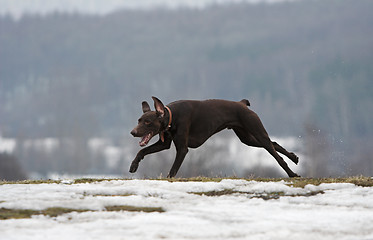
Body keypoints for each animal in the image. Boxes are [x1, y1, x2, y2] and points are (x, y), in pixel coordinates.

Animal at [129, 96, 298, 177]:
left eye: (147, 122)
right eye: (139, 120)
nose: (133, 132)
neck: (172, 116)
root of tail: (242, 103)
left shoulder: (182, 149)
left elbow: (173, 170)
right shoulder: (164, 144)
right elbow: (142, 151)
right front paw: (134, 165)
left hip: (257, 132)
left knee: (276, 154)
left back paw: (292, 173)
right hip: (247, 138)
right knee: (274, 143)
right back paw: (294, 157)